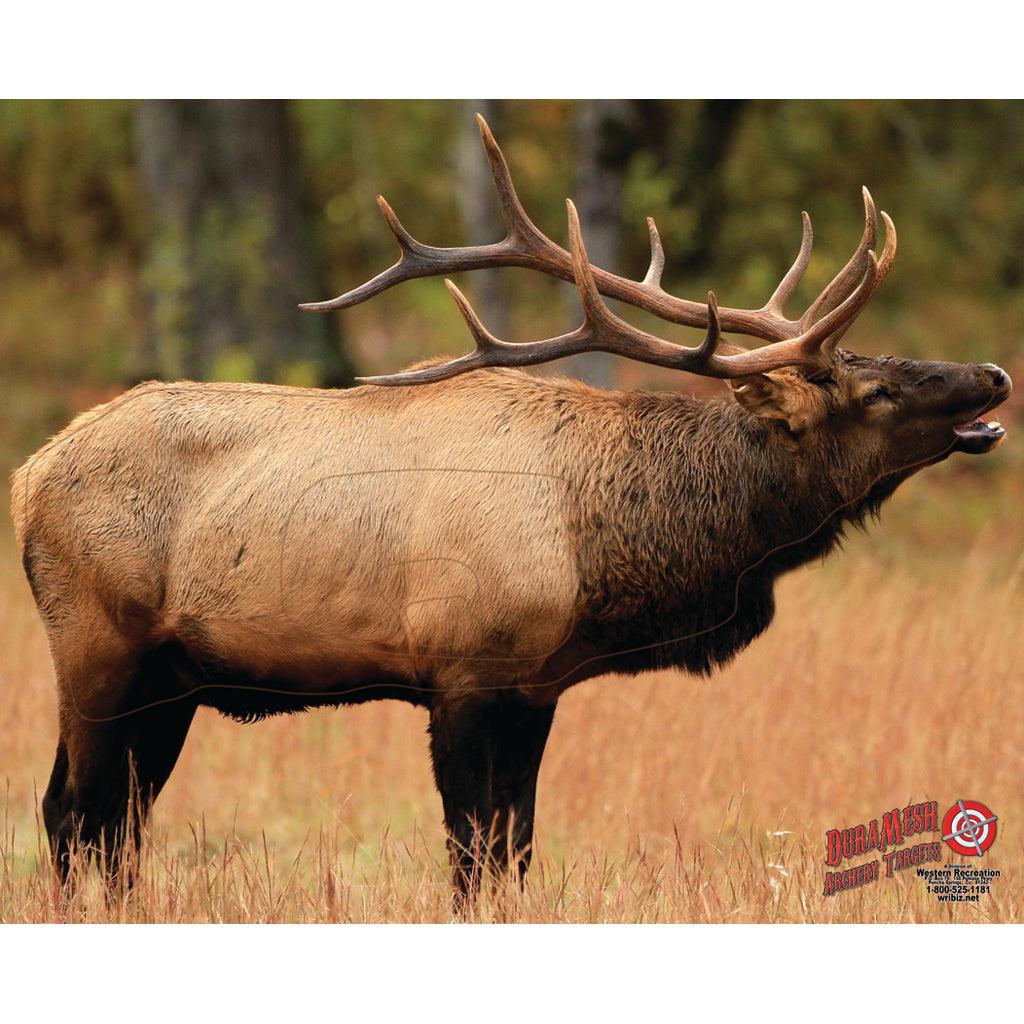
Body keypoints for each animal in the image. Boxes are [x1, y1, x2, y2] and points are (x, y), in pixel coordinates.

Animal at [12, 116, 1011, 904]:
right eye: (877, 389)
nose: (995, 374)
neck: (597, 552)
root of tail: (26, 478)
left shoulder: (536, 687)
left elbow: (513, 853)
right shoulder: (462, 670)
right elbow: (469, 858)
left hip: (171, 680)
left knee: (119, 822)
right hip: (96, 646)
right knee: (70, 812)